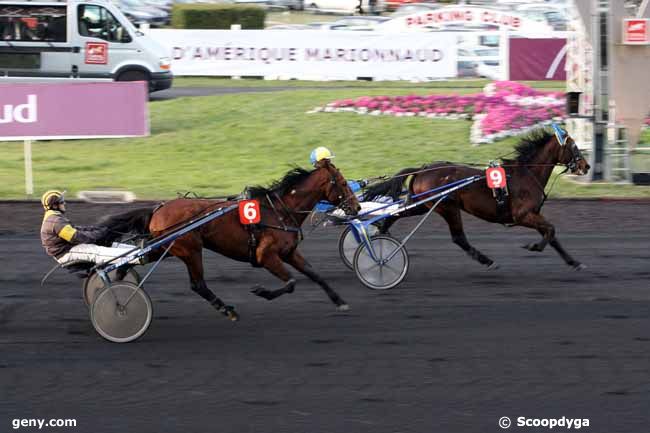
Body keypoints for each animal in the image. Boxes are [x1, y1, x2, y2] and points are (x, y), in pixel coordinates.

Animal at [104, 159, 362, 320]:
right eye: (342, 182)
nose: (357, 207)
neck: (280, 210)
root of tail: (159, 208)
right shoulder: (266, 255)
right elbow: (290, 283)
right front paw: (261, 291)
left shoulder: (289, 252)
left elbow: (314, 274)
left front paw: (339, 300)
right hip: (190, 249)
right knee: (198, 284)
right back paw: (227, 309)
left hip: (165, 247)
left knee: (131, 261)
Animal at [362, 127, 588, 270]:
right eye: (574, 147)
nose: (586, 166)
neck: (526, 174)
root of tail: (423, 169)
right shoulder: (523, 215)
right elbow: (551, 230)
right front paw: (534, 247)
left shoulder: (533, 214)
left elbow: (552, 235)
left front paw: (574, 262)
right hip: (447, 207)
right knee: (458, 238)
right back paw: (487, 261)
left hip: (424, 204)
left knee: (396, 213)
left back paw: (381, 234)